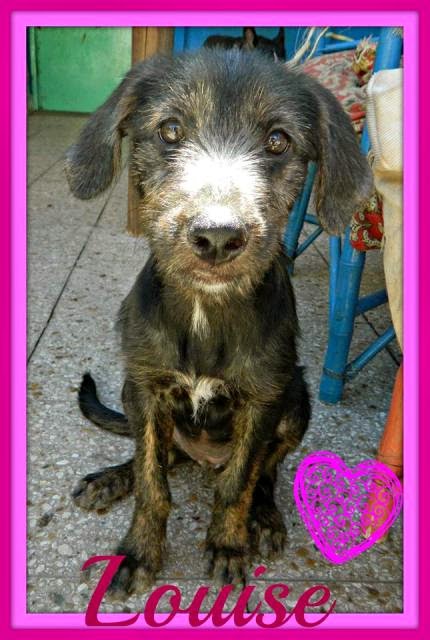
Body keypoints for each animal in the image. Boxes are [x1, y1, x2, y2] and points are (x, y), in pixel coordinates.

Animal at [66, 48, 373, 597]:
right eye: (169, 130)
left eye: (278, 140)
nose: (217, 237)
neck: (205, 310)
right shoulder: (146, 390)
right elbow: (152, 483)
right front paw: (138, 551)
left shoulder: (262, 402)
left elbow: (239, 482)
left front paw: (229, 546)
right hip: (133, 397)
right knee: (157, 457)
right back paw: (111, 478)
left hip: (297, 403)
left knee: (267, 472)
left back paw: (264, 517)